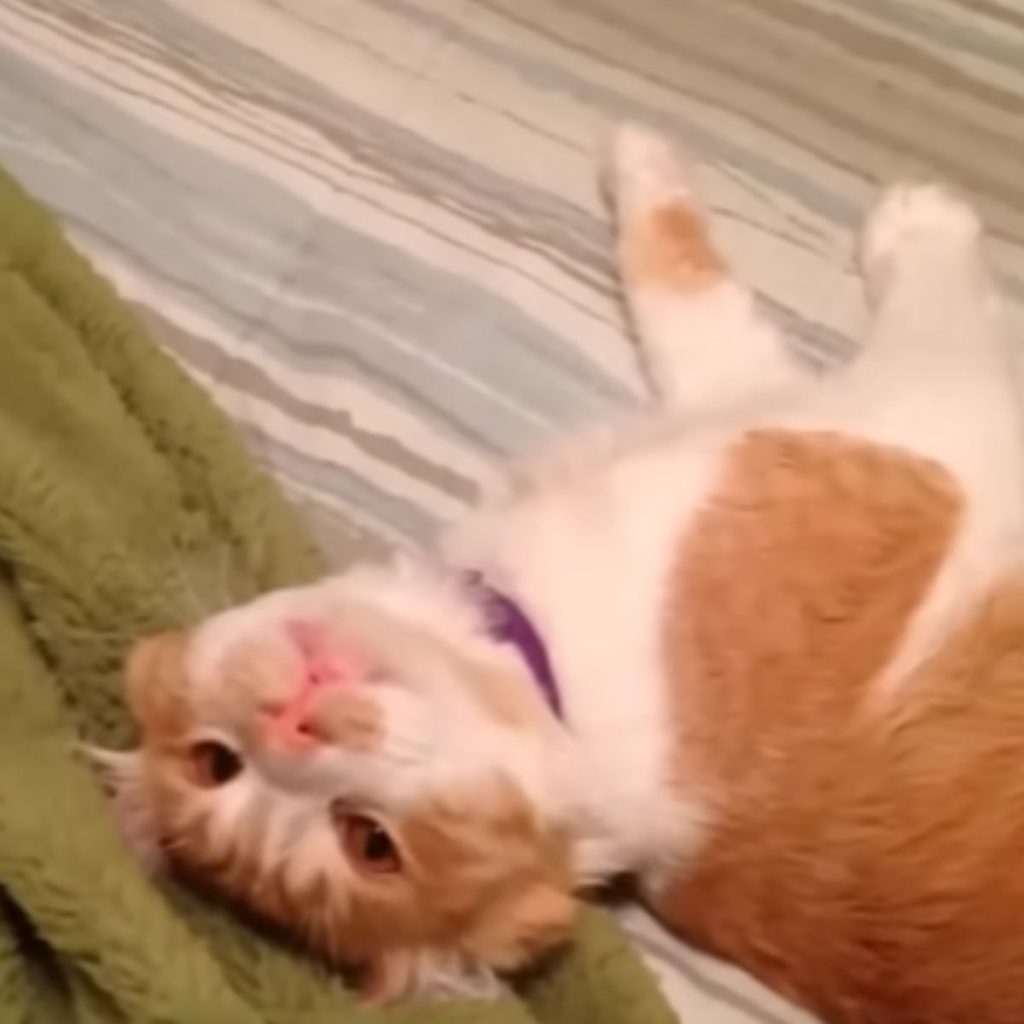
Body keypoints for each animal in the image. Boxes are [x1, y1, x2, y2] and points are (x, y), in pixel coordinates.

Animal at [99, 130, 1024, 1024]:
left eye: (211, 763)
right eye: (373, 845)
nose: (291, 725)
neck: (555, 678)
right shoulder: (909, 417)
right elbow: (698, 289)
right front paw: (918, 218)